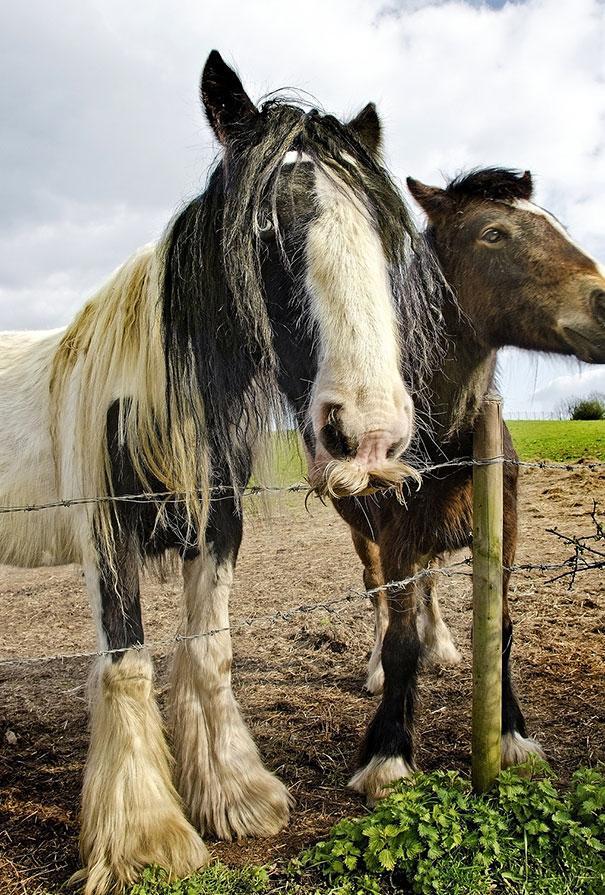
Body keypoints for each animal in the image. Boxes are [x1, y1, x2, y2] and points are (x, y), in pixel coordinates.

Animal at [0, 52, 444, 892]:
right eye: (264, 226)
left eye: (383, 233)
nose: (368, 433)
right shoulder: (106, 540)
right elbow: (126, 664)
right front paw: (146, 836)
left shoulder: (218, 529)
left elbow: (211, 652)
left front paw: (235, 796)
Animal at [332, 170, 604, 804]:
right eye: (493, 233)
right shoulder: (396, 536)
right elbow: (400, 640)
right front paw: (387, 756)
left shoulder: (504, 528)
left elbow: (499, 627)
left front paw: (512, 737)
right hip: (364, 536)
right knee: (379, 596)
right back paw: (375, 669)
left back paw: (443, 646)